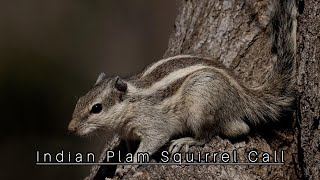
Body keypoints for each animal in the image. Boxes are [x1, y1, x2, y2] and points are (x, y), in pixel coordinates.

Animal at [67, 0, 302, 177]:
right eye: (79, 101)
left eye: (96, 108)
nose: (71, 128)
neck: (131, 104)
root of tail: (243, 95)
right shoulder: (127, 133)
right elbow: (128, 145)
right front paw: (122, 158)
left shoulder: (154, 125)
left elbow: (152, 142)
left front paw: (130, 163)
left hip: (201, 104)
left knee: (214, 133)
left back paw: (186, 140)